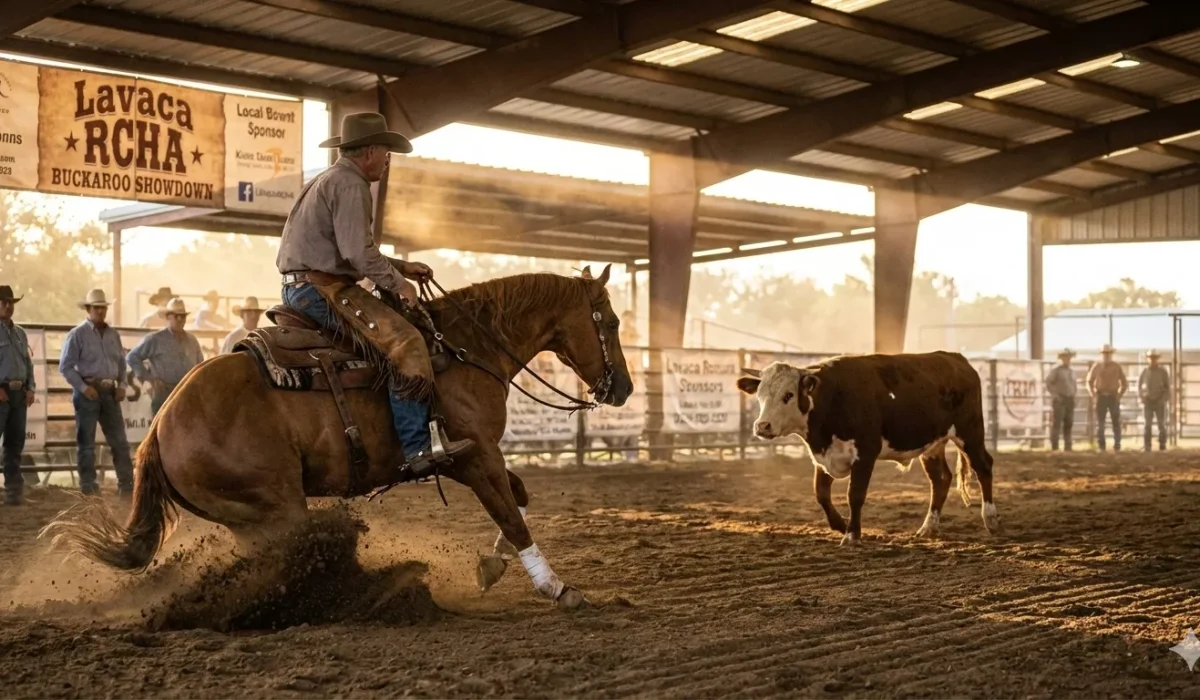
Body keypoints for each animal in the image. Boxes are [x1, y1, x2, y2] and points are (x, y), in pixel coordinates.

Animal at [43, 266, 635, 609]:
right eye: (609, 321)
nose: (624, 388)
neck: (465, 349)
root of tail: (160, 428)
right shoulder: (474, 456)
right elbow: (512, 514)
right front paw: (558, 588)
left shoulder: (471, 459)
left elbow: (519, 496)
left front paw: (492, 567)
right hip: (275, 505)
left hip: (249, 518)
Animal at [736, 351, 999, 546]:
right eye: (759, 396)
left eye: (789, 395)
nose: (762, 426)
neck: (831, 398)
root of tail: (957, 359)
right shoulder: (823, 454)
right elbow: (821, 494)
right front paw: (841, 525)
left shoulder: (865, 453)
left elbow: (855, 494)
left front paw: (852, 535)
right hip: (933, 444)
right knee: (941, 479)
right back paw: (928, 528)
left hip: (970, 432)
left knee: (984, 467)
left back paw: (990, 519)